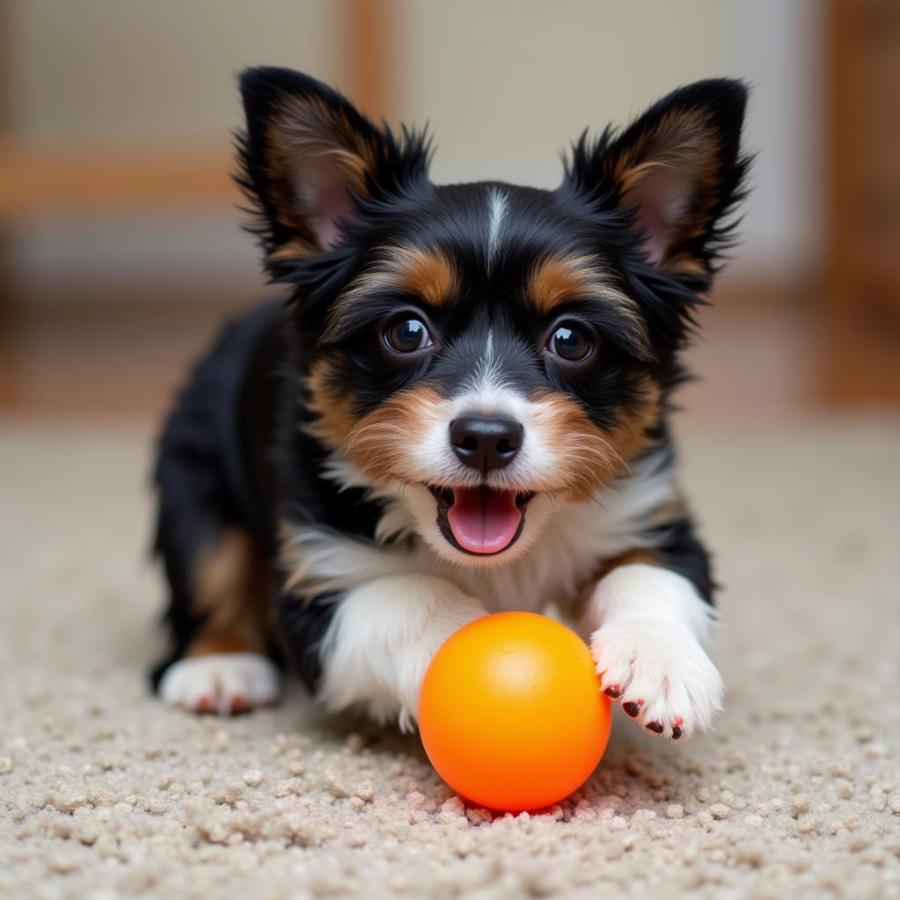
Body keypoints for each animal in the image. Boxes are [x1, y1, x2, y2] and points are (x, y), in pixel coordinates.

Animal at [151, 68, 748, 740]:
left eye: (571, 339)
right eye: (407, 331)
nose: (486, 437)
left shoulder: (650, 511)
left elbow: (649, 574)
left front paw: (661, 662)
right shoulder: (316, 575)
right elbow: (409, 597)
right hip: (190, 477)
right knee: (210, 572)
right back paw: (218, 666)